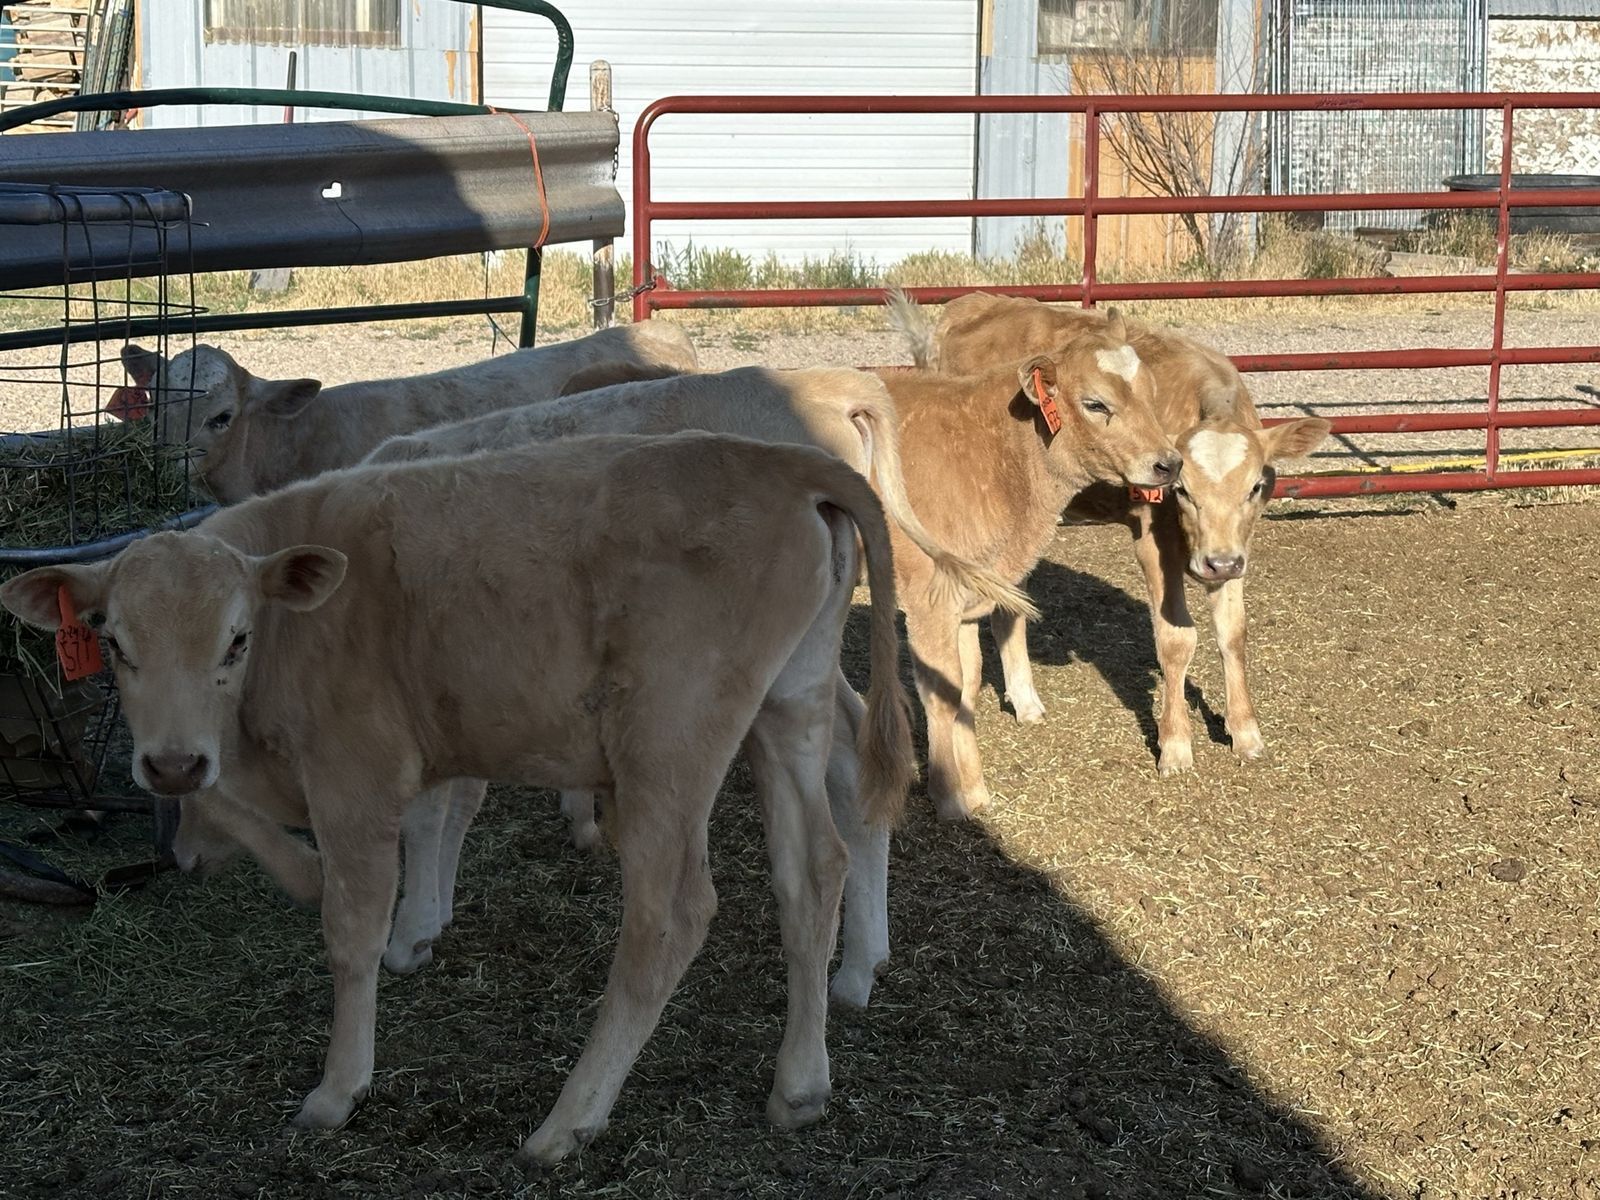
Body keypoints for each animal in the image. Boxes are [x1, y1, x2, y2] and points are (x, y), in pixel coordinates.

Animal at [0, 430, 914, 1165]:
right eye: (115, 643)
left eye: (236, 639)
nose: (173, 766)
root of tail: (782, 461)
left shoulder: (356, 773)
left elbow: (352, 927)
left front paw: (338, 1086)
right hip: (787, 707)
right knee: (813, 871)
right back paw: (800, 1083)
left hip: (670, 740)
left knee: (671, 916)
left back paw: (567, 1122)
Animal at [888, 290, 1331, 776]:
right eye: (1183, 490)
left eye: (1254, 486)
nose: (1218, 563)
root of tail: (973, 302)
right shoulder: (1154, 540)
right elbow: (1176, 639)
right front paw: (1175, 744)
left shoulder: (1234, 546)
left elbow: (1232, 633)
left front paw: (1245, 732)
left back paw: (1025, 701)